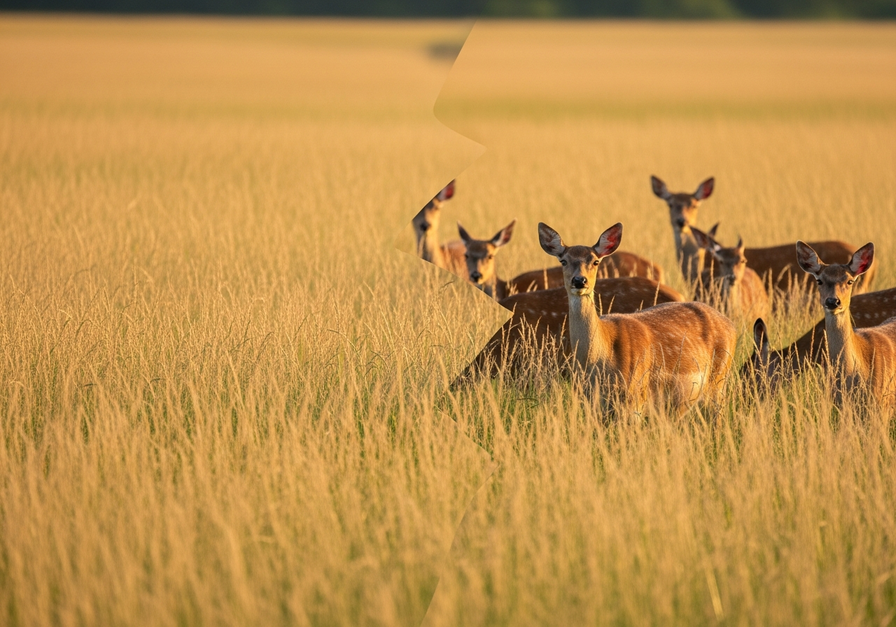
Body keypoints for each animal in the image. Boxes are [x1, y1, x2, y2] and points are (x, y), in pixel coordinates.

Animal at [537, 222, 736, 414]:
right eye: (563, 261)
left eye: (595, 261)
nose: (579, 281)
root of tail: (730, 324)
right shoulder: (592, 404)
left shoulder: (636, 396)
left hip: (718, 379)